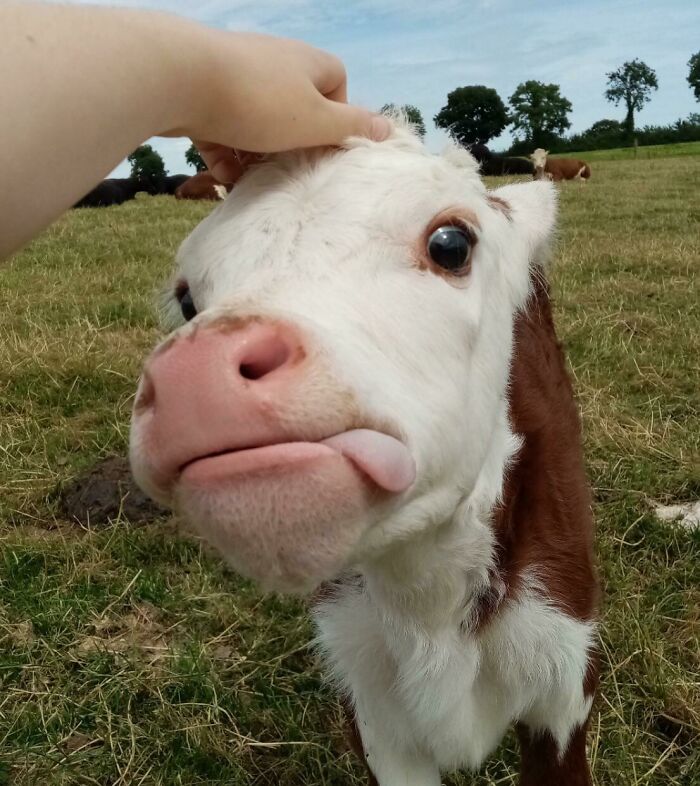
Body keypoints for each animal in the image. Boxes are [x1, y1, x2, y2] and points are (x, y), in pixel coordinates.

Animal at [130, 121, 598, 786]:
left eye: (451, 243)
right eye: (188, 301)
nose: (197, 376)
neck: (426, 597)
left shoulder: (563, 677)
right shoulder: (370, 708)